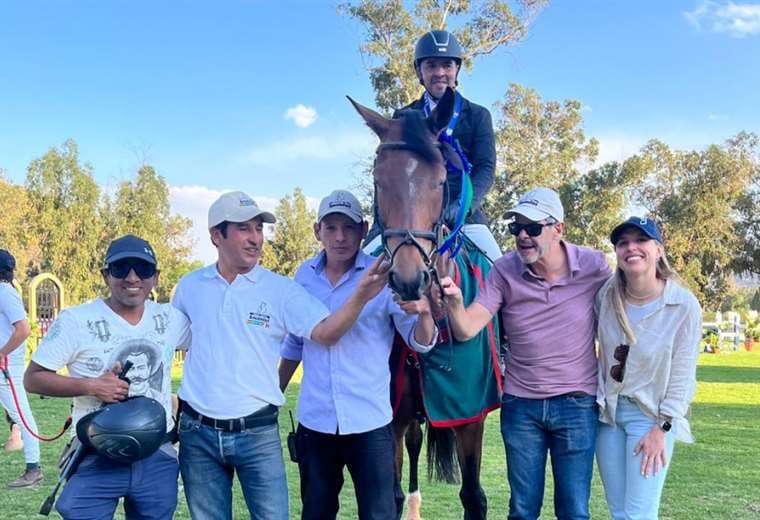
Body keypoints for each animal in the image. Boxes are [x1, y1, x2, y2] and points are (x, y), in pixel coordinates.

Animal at [350, 89, 504, 520]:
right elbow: (390, 495)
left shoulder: (470, 415)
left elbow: (473, 496)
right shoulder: (389, 418)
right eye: (378, 181)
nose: (407, 279)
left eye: (440, 180)